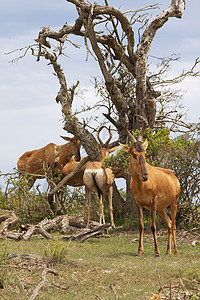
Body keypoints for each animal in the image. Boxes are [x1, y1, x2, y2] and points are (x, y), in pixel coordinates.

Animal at [119, 116, 180, 256]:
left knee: (173, 225)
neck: (142, 185)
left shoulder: (153, 202)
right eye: (134, 153)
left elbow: (153, 226)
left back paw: (175, 250)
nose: (145, 175)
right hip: (161, 208)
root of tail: (173, 175)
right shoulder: (139, 203)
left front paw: (156, 252)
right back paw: (168, 251)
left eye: (145, 153)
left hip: (173, 203)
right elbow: (141, 226)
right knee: (169, 225)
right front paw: (139, 251)